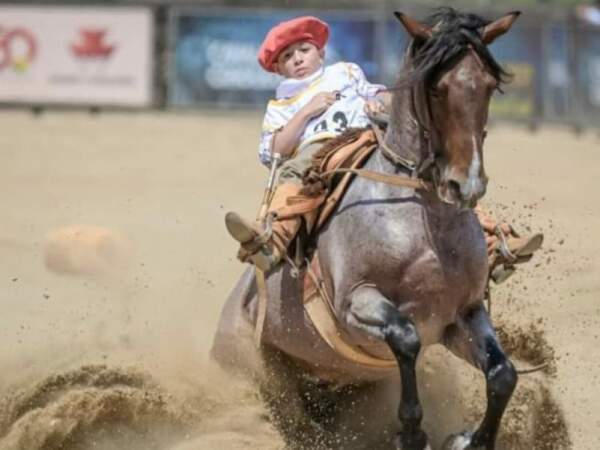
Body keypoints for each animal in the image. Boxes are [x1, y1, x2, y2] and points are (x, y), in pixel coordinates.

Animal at [214, 7, 520, 450]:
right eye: (436, 88)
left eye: (489, 86)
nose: (466, 185)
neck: (424, 227)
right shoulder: (356, 304)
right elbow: (406, 338)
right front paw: (411, 433)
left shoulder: (462, 316)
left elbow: (503, 374)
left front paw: (471, 440)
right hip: (257, 373)